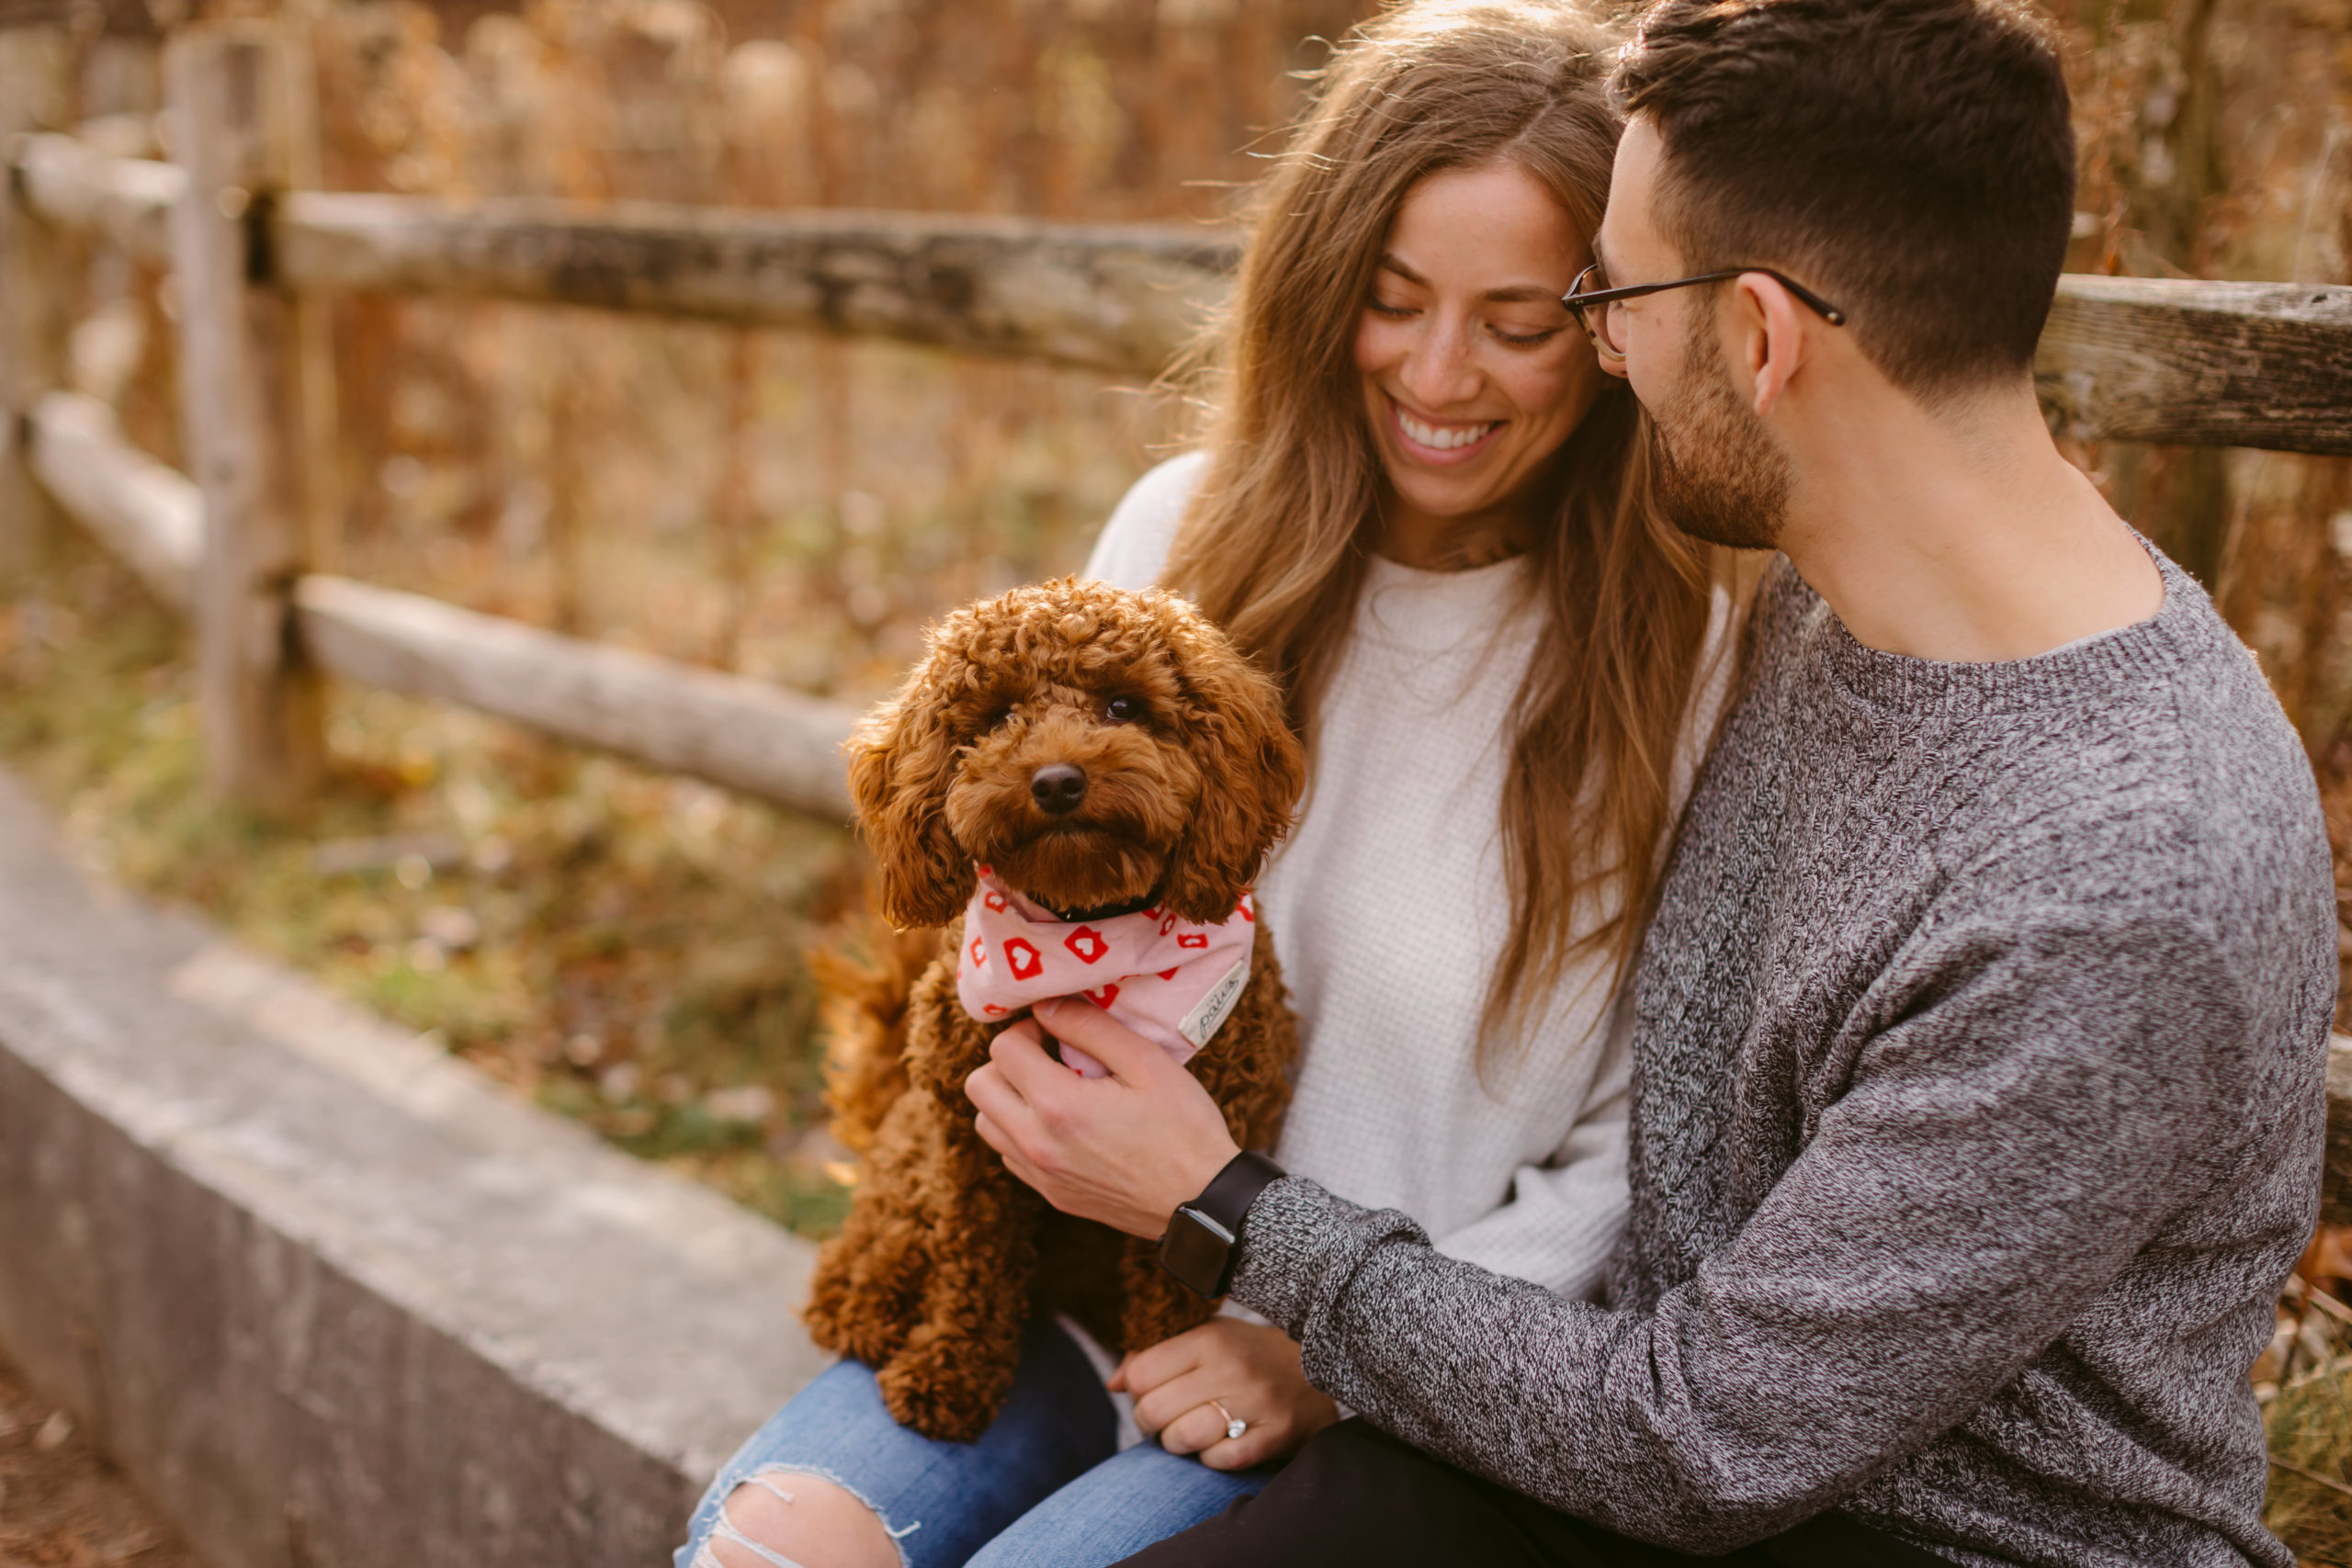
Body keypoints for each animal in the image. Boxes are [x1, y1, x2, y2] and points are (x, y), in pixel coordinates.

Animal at [804, 576, 1307, 1448]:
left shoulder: (1207, 1150)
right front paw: (950, 1376)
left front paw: (1165, 1393)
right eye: (999, 715)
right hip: (914, 1150)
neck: (1087, 935)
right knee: (879, 1234)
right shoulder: (968, 1148)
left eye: (1123, 704)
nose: (1058, 781)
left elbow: (1172, 1296)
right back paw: (861, 1301)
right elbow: (974, 1268)